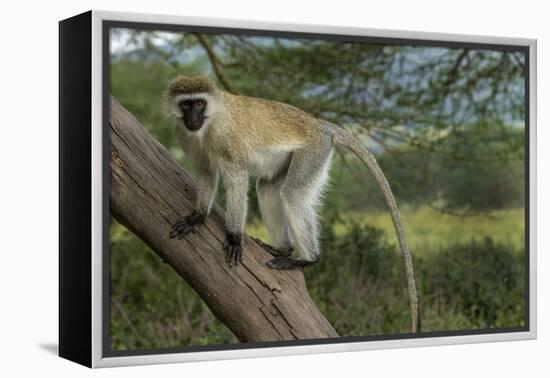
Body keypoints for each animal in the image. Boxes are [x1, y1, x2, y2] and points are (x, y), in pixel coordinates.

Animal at [166, 75, 420, 332]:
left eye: (200, 103)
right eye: (186, 104)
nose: (192, 118)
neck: (209, 122)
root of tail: (318, 124)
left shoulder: (226, 139)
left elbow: (237, 181)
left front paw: (234, 237)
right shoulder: (183, 134)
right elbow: (206, 173)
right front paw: (197, 216)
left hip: (313, 152)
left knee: (292, 193)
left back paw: (307, 259)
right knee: (267, 188)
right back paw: (282, 249)